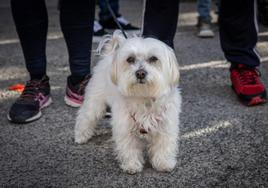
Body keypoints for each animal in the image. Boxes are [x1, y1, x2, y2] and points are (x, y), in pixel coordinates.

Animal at [74, 30, 181, 173]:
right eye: (130, 59)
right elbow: (129, 147)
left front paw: (163, 163)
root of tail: (109, 55)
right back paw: (81, 136)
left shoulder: (166, 127)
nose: (140, 73)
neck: (144, 97)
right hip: (95, 101)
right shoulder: (125, 127)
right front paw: (132, 165)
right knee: (85, 116)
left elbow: (163, 147)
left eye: (153, 59)